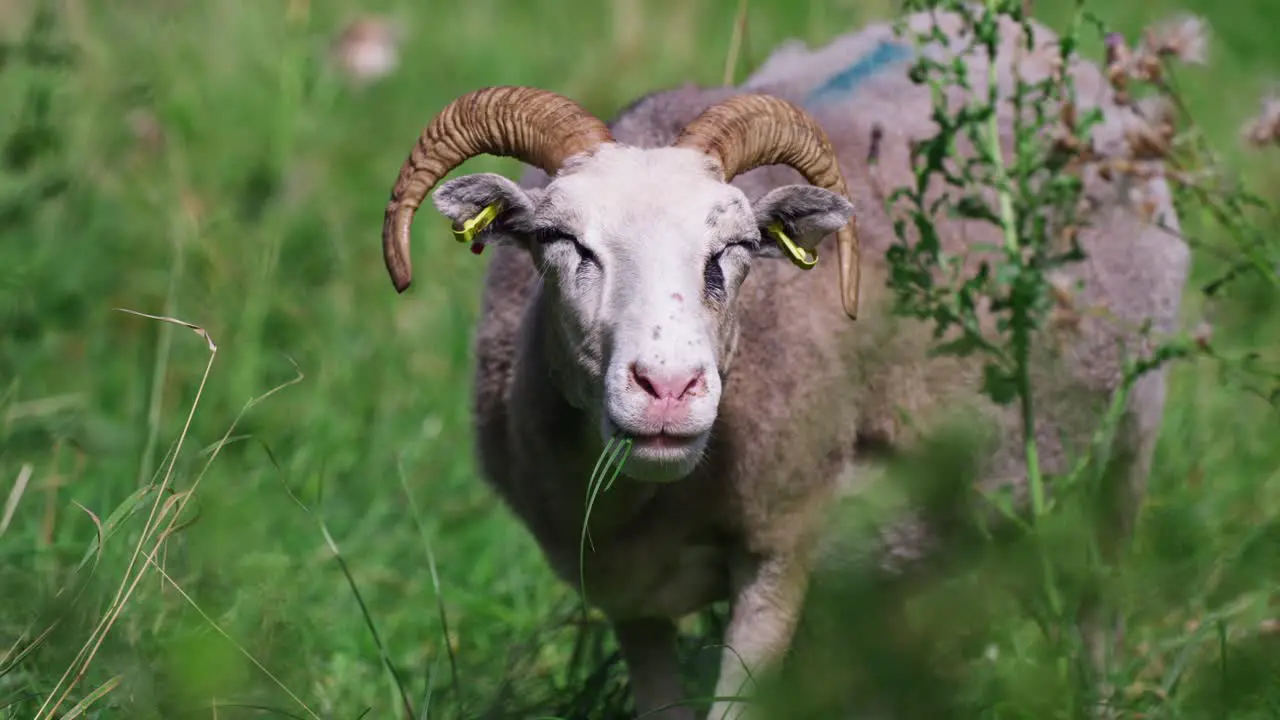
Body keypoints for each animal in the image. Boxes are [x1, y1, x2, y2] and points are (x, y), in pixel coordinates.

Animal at [376, 11, 1187, 717]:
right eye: (558, 239)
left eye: (735, 248)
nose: (668, 388)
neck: (658, 502)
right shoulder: (624, 588)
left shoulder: (780, 550)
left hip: (1128, 446)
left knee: (1100, 606)